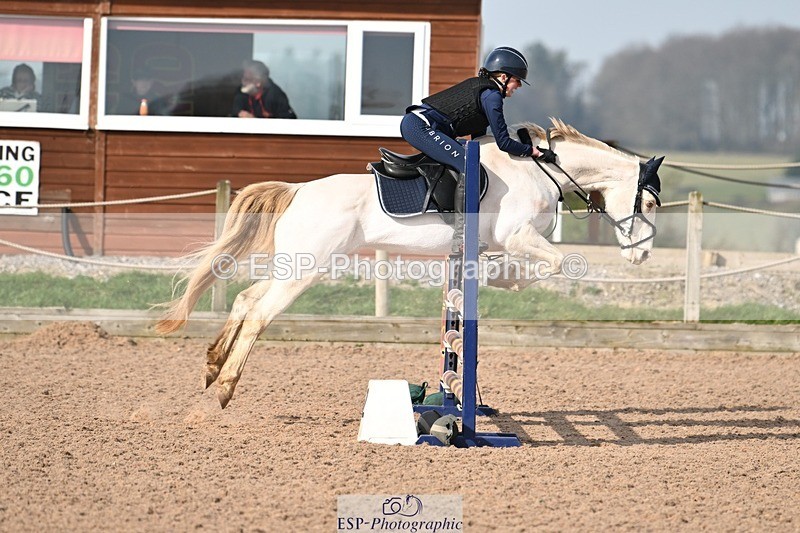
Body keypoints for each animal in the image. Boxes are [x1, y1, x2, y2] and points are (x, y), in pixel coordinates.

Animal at [155, 118, 663, 408]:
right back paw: (225, 387)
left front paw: (500, 279)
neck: (540, 168)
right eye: (650, 203)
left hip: (295, 266)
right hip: (307, 270)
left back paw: (212, 367)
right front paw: (506, 282)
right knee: (260, 313)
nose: (641, 254)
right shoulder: (518, 236)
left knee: (245, 299)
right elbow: (553, 264)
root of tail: (298, 190)